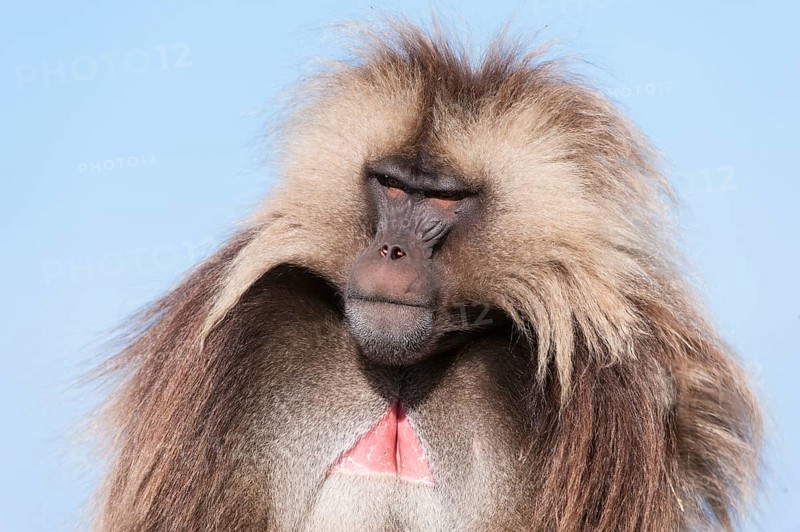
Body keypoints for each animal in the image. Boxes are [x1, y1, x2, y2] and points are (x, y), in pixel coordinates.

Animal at [91, 19, 762, 532]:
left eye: (441, 200)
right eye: (391, 186)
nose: (391, 252)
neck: (403, 373)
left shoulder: (604, 395)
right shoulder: (249, 336)